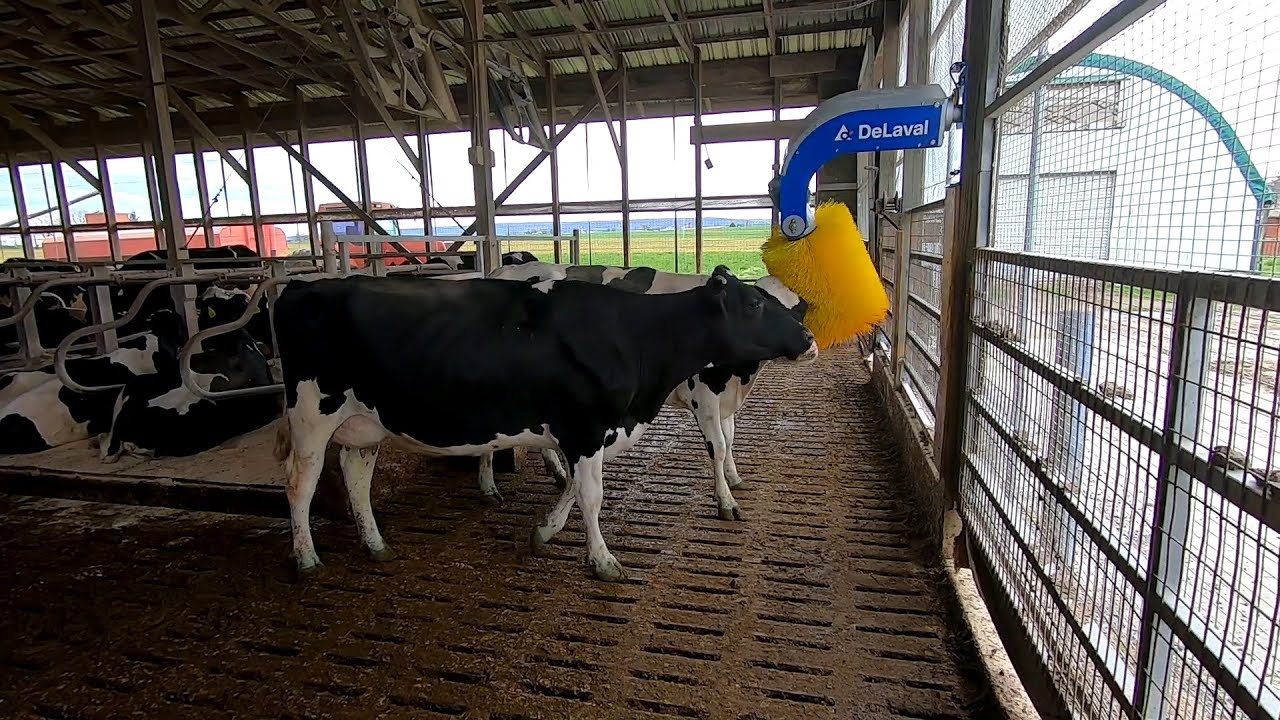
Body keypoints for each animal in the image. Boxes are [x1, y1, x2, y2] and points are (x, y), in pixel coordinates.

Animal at [478, 261, 808, 521]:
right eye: (758, 304)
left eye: (798, 309)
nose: (809, 343)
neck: (741, 377)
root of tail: (503, 271)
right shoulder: (705, 398)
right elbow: (718, 446)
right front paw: (726, 501)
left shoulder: (726, 399)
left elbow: (730, 440)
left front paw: (734, 477)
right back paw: (488, 487)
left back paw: (556, 472)